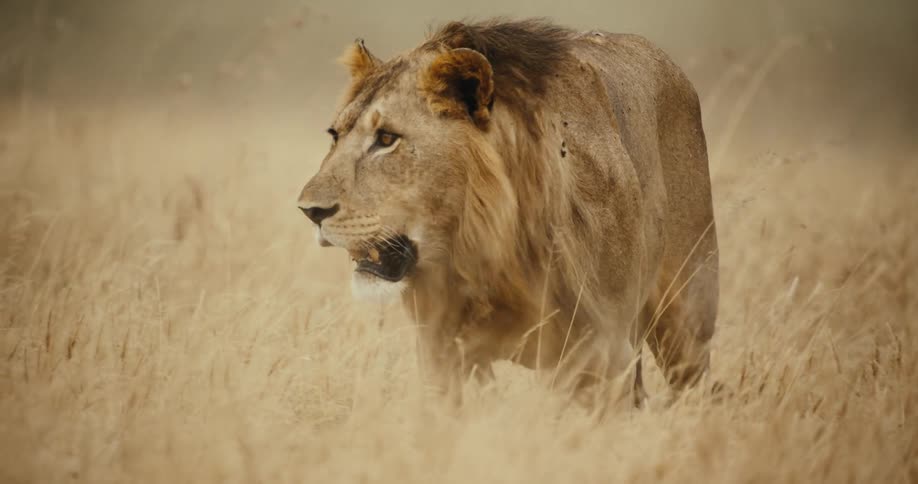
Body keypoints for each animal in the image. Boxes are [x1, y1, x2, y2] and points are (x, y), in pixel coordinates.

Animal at [297, 19, 719, 407]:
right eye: (335, 135)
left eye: (387, 139)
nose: (309, 211)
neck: (486, 245)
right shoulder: (440, 349)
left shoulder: (603, 349)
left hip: (686, 317)